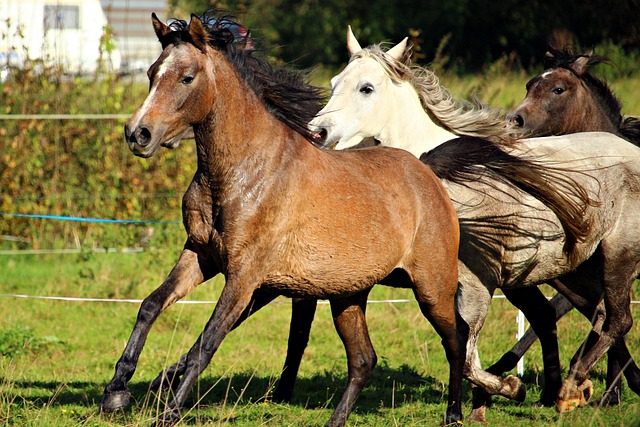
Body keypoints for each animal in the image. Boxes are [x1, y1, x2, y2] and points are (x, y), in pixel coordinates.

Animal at [97, 13, 462, 427]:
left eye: (187, 77)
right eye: (151, 72)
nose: (138, 134)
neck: (242, 170)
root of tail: (426, 172)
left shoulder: (244, 276)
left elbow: (207, 342)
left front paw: (169, 413)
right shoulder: (200, 255)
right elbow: (151, 304)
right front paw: (116, 392)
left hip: (432, 287)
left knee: (456, 340)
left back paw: (455, 413)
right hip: (347, 296)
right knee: (363, 359)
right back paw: (335, 421)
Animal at [310, 28, 640, 422]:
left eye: (366, 88)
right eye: (333, 82)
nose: (317, 131)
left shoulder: (474, 284)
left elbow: (464, 350)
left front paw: (503, 391)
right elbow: (466, 350)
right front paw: (484, 403)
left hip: (617, 257)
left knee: (617, 320)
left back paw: (574, 388)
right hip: (574, 268)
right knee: (594, 314)